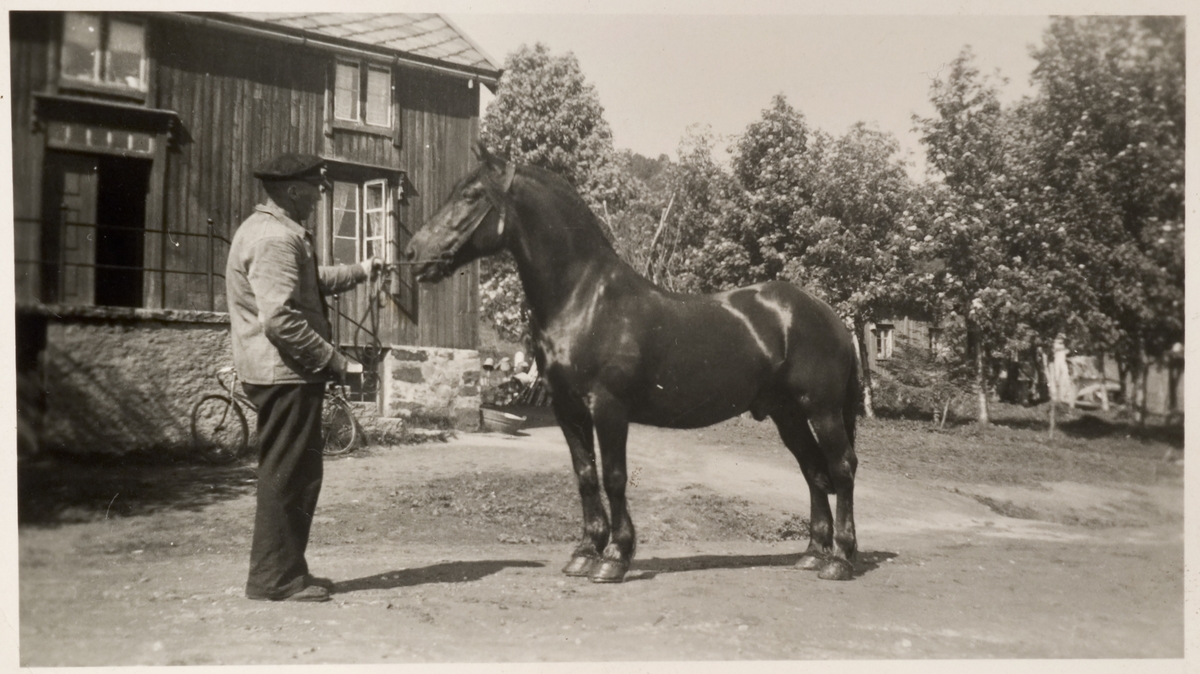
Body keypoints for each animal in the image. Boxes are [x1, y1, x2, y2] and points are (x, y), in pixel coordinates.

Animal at [408, 149, 859, 580]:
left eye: (471, 195)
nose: (413, 252)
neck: (584, 299)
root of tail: (829, 315)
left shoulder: (609, 408)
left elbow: (614, 477)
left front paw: (615, 557)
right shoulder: (567, 409)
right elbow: (586, 476)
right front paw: (584, 552)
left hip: (821, 410)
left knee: (840, 468)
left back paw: (840, 558)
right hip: (788, 414)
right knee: (813, 472)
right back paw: (813, 554)